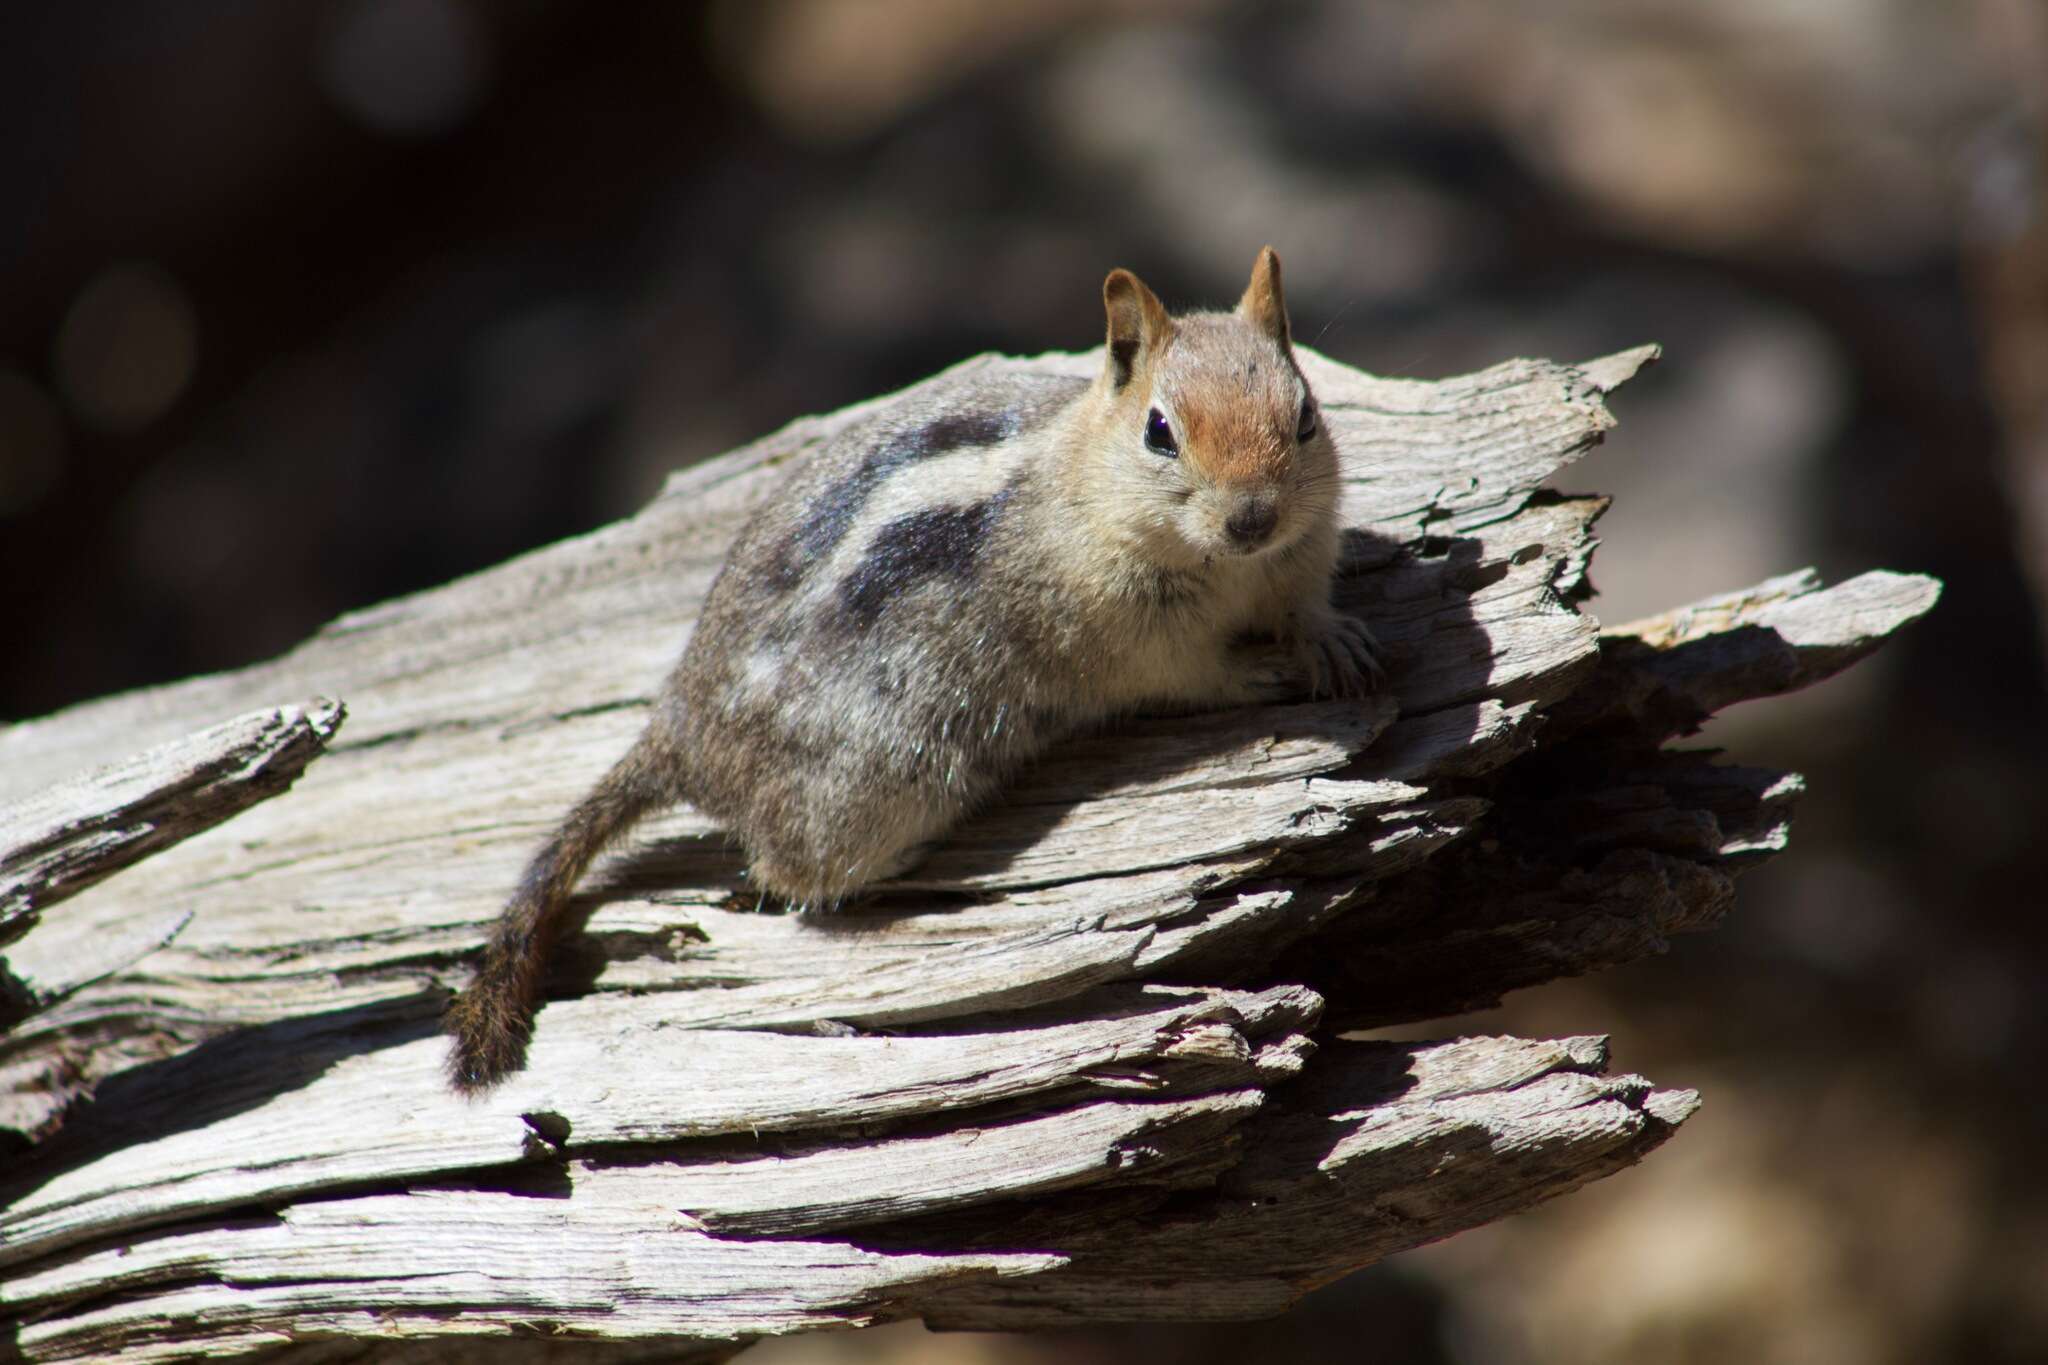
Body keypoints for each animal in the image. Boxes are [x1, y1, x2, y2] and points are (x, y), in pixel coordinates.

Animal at [444, 248, 1376, 1088]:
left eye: (1304, 416)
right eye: (1159, 431)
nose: (1253, 517)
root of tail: (681, 729)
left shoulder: (1299, 556)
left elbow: (1308, 605)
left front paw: (1335, 638)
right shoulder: (1133, 633)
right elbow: (1189, 674)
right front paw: (1256, 675)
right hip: (882, 777)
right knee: (785, 871)